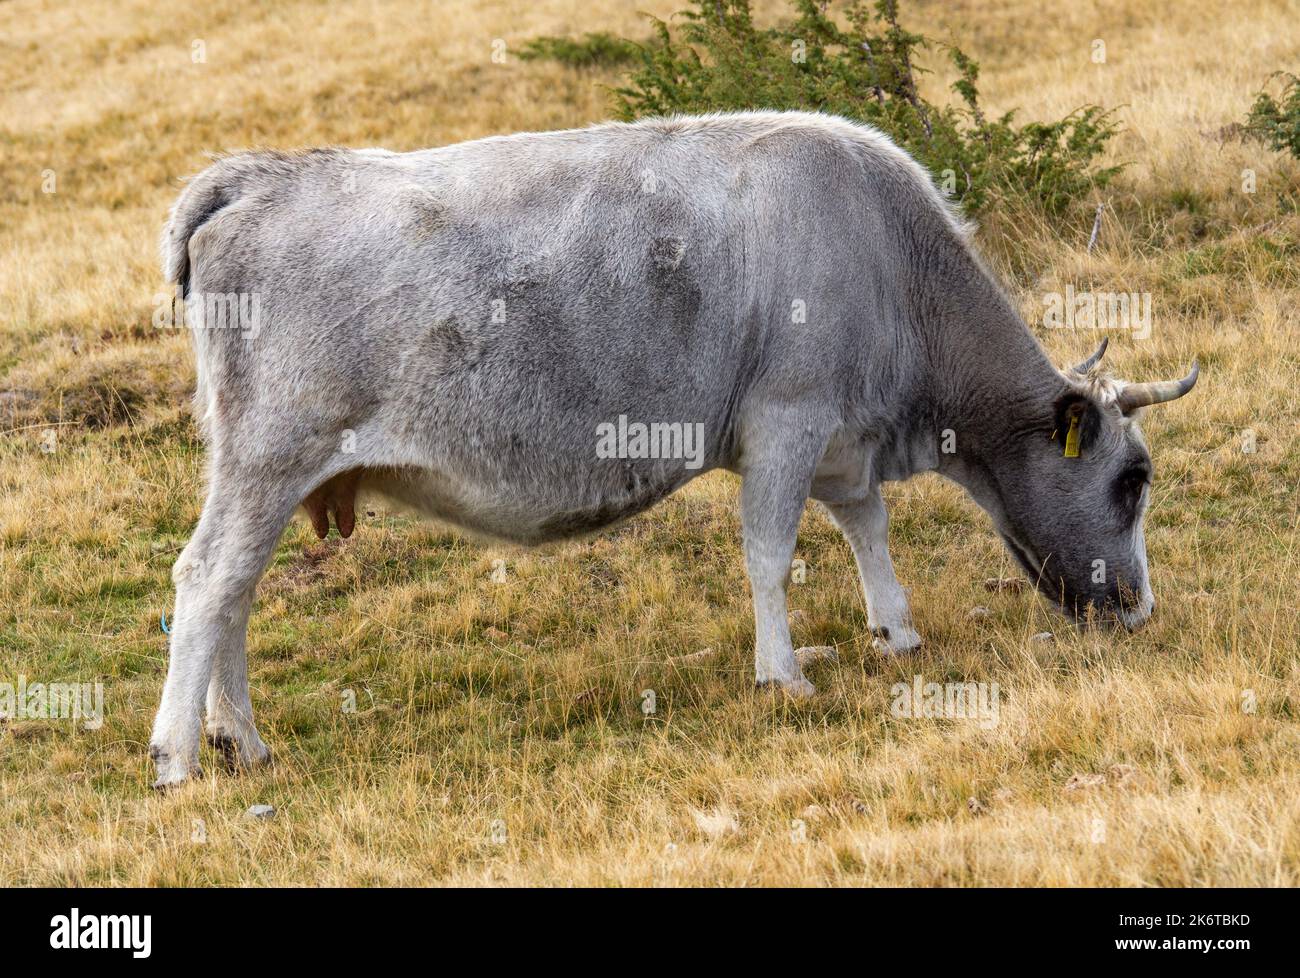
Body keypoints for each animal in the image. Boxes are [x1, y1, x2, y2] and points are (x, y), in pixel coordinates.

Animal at [150, 111, 1197, 788]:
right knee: (207, 580)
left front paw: (895, 631)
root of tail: (260, 175)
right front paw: (784, 673)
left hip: (269, 472)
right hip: (269, 455)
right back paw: (177, 757)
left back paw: (243, 744)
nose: (1140, 608)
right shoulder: (785, 419)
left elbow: (868, 527)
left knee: (237, 594)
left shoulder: (841, 436)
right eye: (1133, 479)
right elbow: (771, 553)